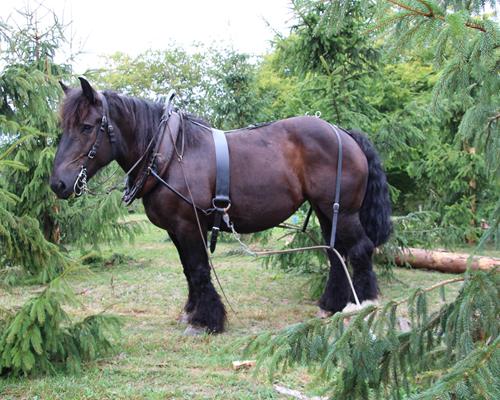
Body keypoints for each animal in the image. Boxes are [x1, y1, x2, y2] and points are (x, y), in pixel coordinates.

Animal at [49, 77, 390, 334]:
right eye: (63, 127)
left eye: (87, 126)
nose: (58, 184)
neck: (169, 153)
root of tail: (343, 133)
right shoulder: (175, 230)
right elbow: (188, 270)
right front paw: (192, 311)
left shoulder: (189, 225)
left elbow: (199, 270)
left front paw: (205, 320)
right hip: (326, 210)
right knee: (335, 253)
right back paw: (331, 304)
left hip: (343, 212)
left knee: (359, 249)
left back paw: (364, 304)